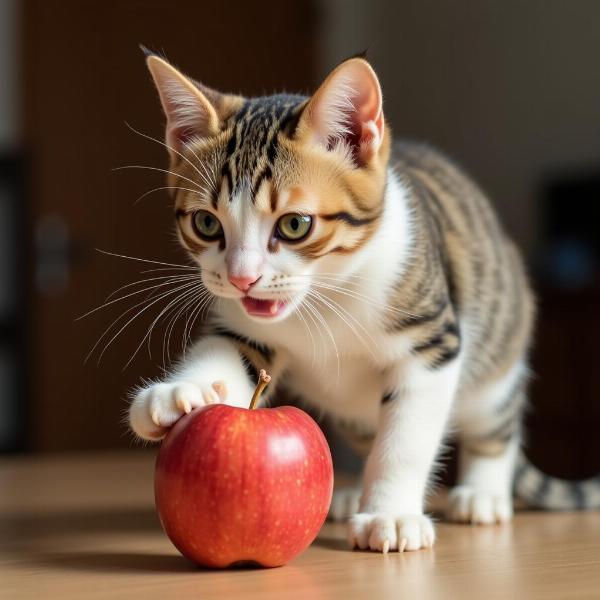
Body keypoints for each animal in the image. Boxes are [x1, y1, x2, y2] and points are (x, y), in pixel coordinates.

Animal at [127, 49, 600, 552]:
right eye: (206, 223)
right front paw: (178, 392)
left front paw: (391, 513)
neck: (323, 297)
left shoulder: (432, 342)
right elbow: (231, 351)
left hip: (499, 343)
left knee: (496, 420)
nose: (242, 277)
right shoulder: (247, 326)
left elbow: (406, 437)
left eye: (295, 224)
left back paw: (482, 493)